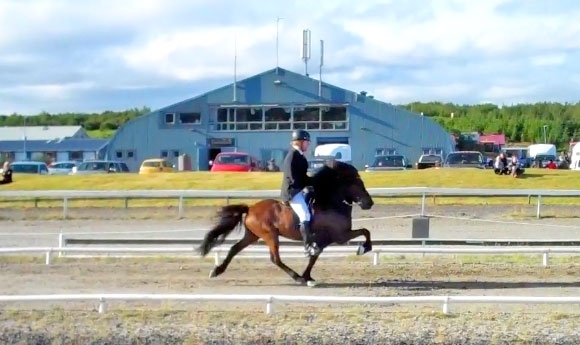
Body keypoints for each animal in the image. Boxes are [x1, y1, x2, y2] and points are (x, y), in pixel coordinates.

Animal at [197, 160, 374, 286]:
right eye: (357, 184)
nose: (370, 203)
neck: (330, 202)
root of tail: (251, 208)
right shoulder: (340, 236)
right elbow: (365, 231)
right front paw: (364, 248)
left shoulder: (326, 240)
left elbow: (314, 256)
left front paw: (307, 276)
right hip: (270, 235)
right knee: (275, 259)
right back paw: (296, 278)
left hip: (253, 235)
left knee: (234, 249)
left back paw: (217, 271)